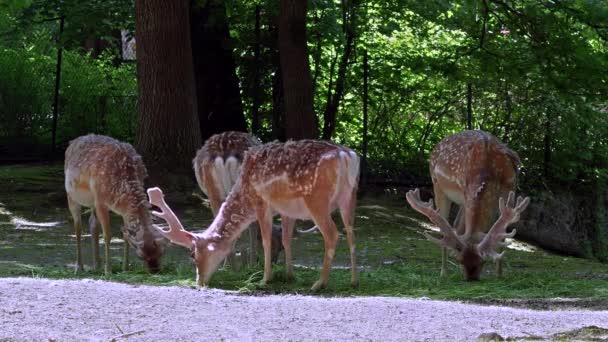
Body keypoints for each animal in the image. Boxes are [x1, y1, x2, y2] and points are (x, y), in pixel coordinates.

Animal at [63, 134, 166, 276]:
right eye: (141, 256)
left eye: (161, 253)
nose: (155, 271)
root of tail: (72, 142)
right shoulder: (101, 201)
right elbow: (108, 235)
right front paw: (108, 270)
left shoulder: (123, 211)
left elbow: (125, 235)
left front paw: (125, 268)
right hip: (71, 196)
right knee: (78, 227)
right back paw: (79, 267)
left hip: (92, 202)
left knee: (92, 223)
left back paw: (97, 265)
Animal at [149, 140, 358, 290]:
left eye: (193, 255)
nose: (199, 282)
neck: (244, 194)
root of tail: (346, 156)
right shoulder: (287, 210)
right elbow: (286, 239)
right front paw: (289, 275)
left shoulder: (261, 203)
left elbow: (265, 240)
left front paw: (264, 279)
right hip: (349, 196)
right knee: (350, 232)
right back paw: (352, 280)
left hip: (317, 200)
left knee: (332, 234)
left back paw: (319, 283)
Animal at [406, 130, 528, 280]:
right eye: (459, 260)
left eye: (483, 261)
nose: (471, 278)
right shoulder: (465, 190)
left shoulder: (510, 187)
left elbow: (504, 233)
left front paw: (499, 275)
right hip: (437, 185)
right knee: (445, 227)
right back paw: (444, 272)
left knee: (457, 225)